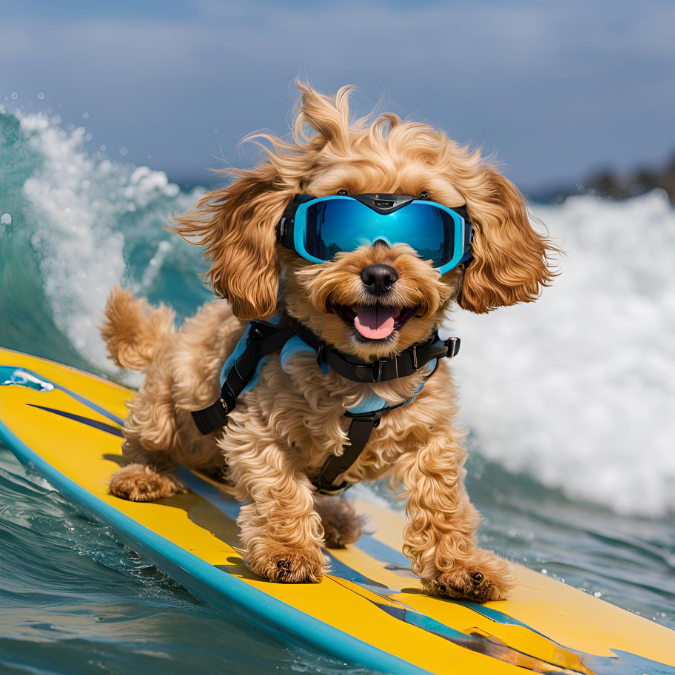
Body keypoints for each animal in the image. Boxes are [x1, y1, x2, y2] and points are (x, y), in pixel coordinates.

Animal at [100, 80, 556, 604]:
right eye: (336, 214)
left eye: (428, 220)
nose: (379, 274)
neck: (364, 370)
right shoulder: (257, 426)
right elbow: (280, 487)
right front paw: (288, 550)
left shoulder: (432, 432)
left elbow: (442, 499)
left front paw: (460, 565)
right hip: (168, 401)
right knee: (148, 442)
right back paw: (146, 476)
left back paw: (336, 518)